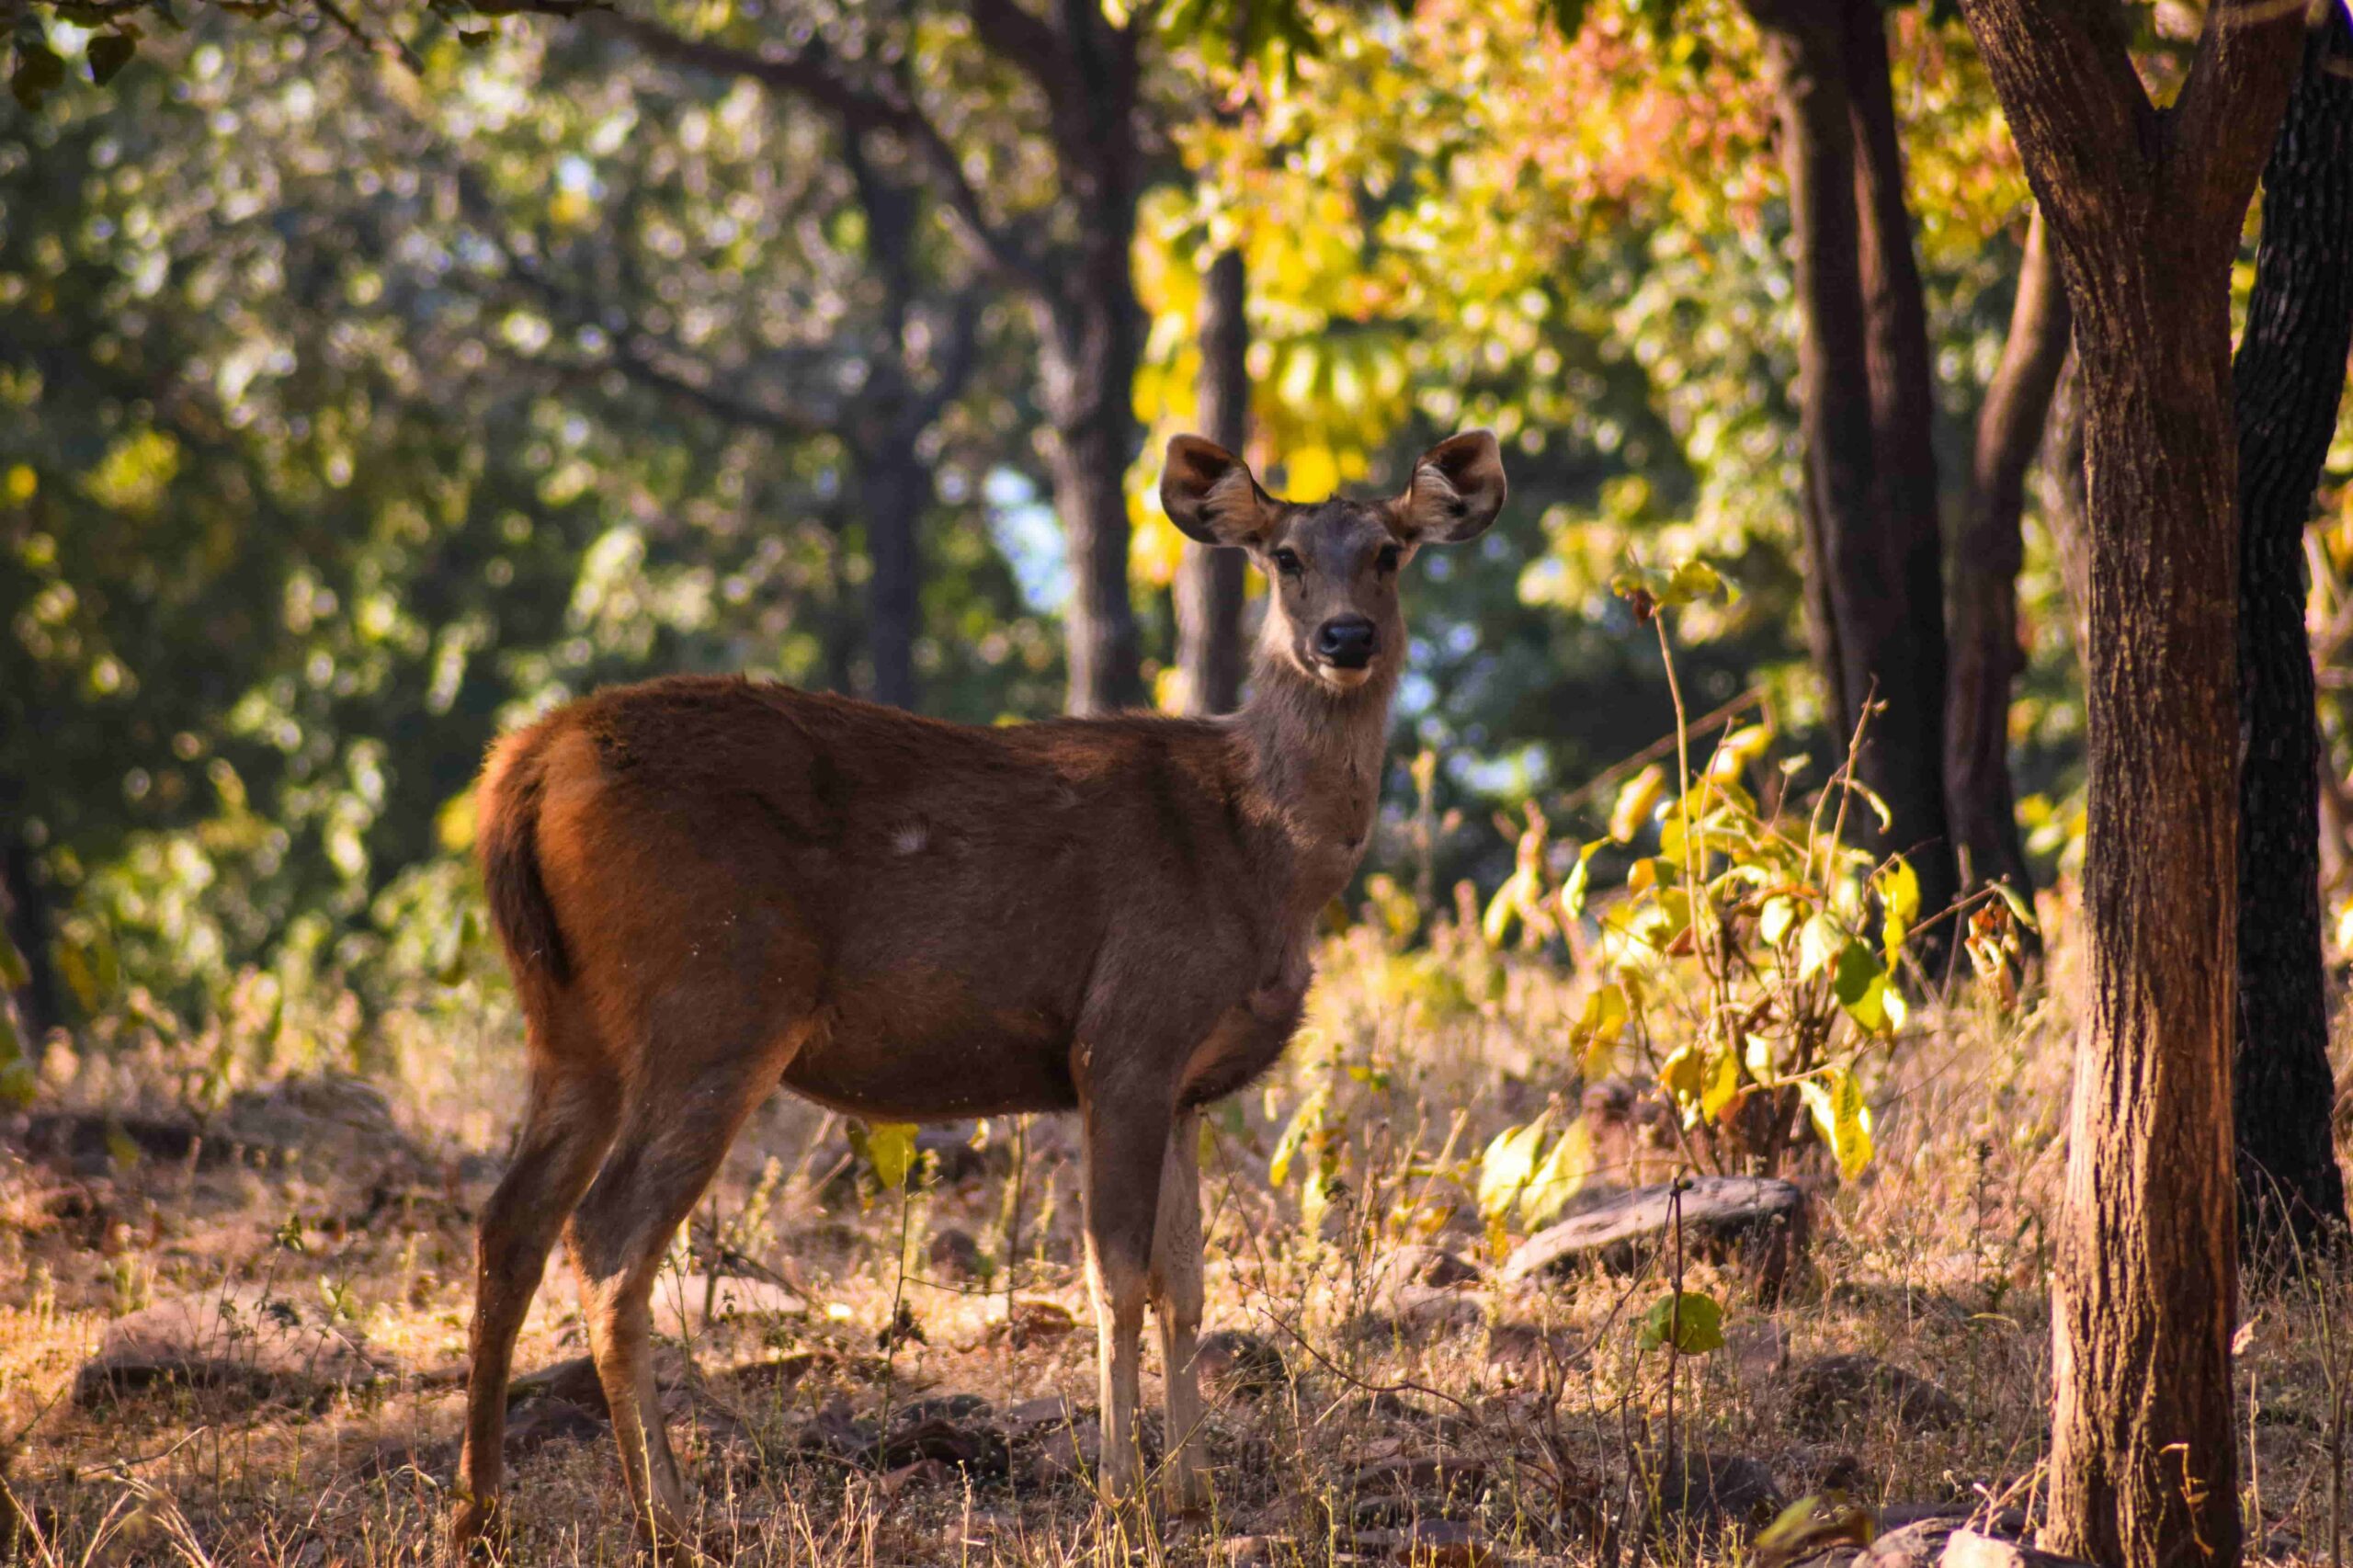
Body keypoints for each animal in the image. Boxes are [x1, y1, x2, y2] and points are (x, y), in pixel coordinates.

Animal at [444, 424, 1506, 1553]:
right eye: (1286, 556)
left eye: (1390, 550)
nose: (1346, 636)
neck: (1261, 852)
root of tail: (524, 766)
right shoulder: (1124, 1035)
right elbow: (1116, 1276)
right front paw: (1122, 1497)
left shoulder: (1186, 1082)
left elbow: (1188, 1283)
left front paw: (1194, 1493)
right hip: (715, 999)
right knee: (607, 1235)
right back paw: (671, 1520)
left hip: (568, 1022)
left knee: (512, 1219)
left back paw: (482, 1512)